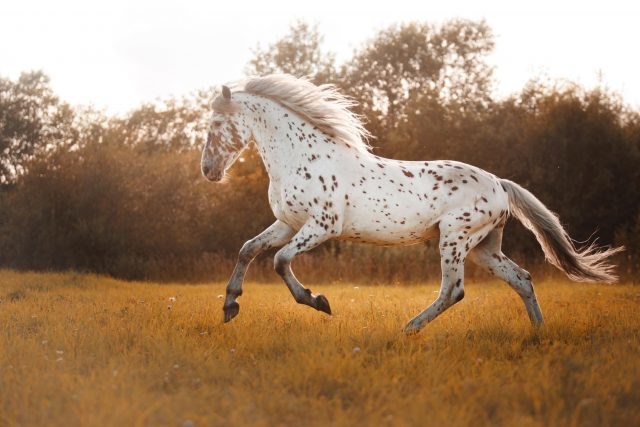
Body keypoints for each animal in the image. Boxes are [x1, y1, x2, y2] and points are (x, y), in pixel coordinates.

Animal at [200, 74, 622, 334]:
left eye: (216, 125)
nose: (208, 171)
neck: (303, 156)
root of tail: (500, 184)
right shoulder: (288, 223)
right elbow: (248, 249)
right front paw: (229, 307)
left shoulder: (322, 226)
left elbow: (279, 260)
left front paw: (319, 302)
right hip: (484, 248)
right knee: (522, 279)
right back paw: (537, 332)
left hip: (454, 238)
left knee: (453, 291)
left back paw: (407, 329)